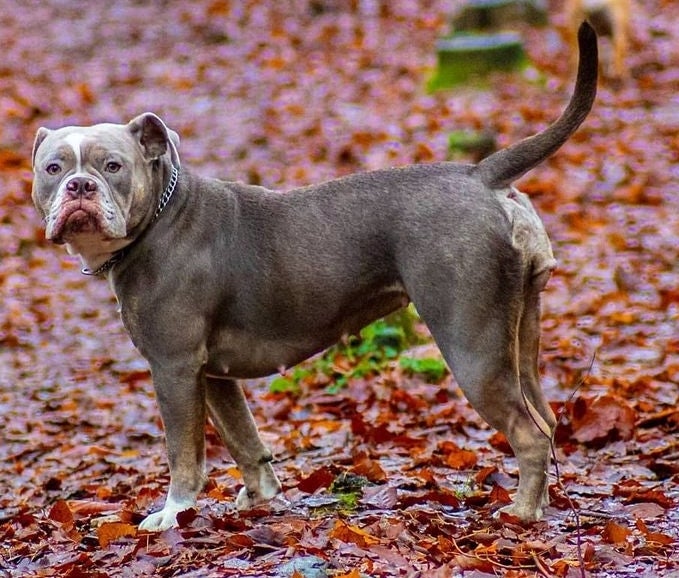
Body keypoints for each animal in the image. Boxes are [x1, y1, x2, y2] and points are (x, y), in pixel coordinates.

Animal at [30, 21, 596, 528]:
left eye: (113, 166)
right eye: (52, 169)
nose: (80, 186)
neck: (160, 217)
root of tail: (480, 175)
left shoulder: (174, 367)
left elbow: (184, 452)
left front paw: (173, 515)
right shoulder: (213, 373)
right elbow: (244, 439)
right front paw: (259, 498)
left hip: (472, 344)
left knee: (527, 433)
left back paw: (520, 514)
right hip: (520, 331)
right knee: (546, 421)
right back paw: (543, 503)